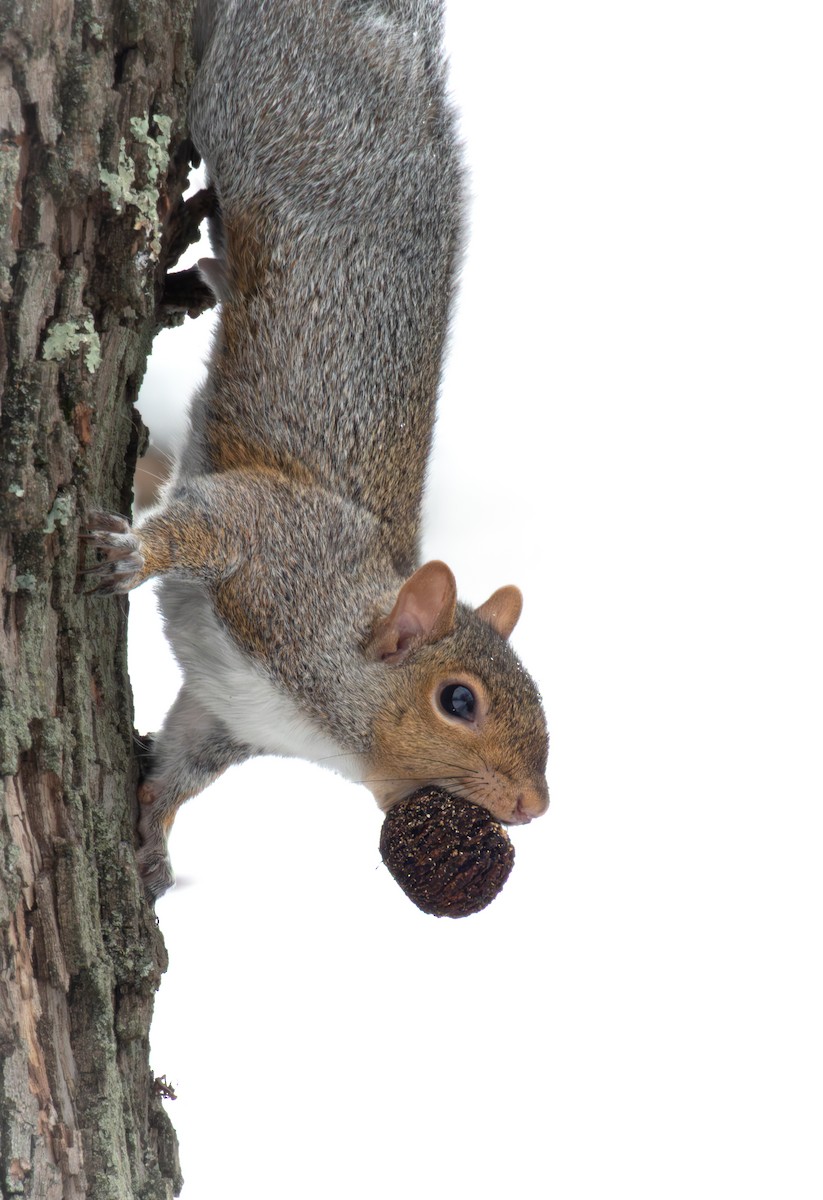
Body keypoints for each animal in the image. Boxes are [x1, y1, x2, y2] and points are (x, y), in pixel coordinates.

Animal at [83, 0, 550, 898]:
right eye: (458, 702)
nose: (531, 806)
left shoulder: (224, 714)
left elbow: (184, 765)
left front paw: (153, 840)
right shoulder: (274, 545)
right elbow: (204, 519)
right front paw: (133, 553)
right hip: (261, 96)